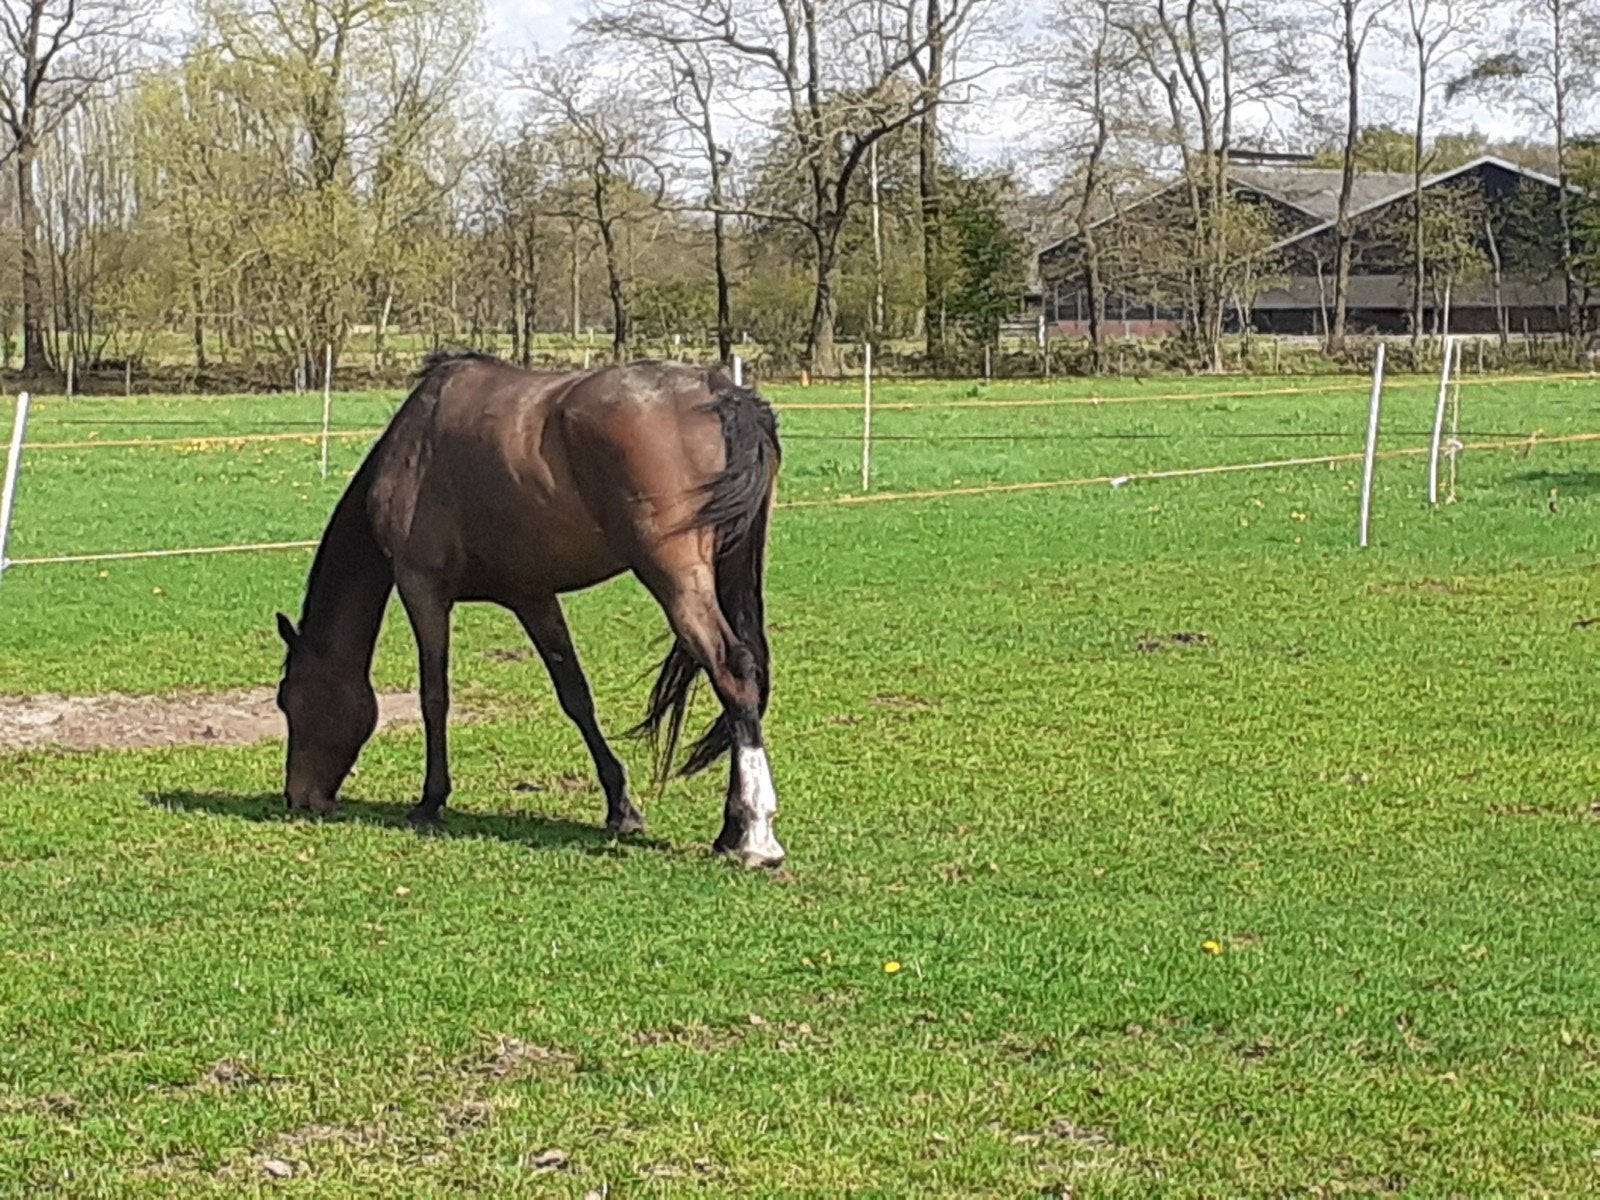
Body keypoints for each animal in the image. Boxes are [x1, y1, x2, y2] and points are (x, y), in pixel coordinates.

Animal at [273, 352, 786, 867]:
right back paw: (730, 830)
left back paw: (756, 834)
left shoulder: (423, 589)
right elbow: (575, 696)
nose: (299, 798)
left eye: (288, 699)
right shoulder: (532, 597)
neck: (416, 446)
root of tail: (718, 390)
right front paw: (621, 808)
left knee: (731, 669)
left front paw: (430, 801)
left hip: (675, 576)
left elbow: (434, 697)